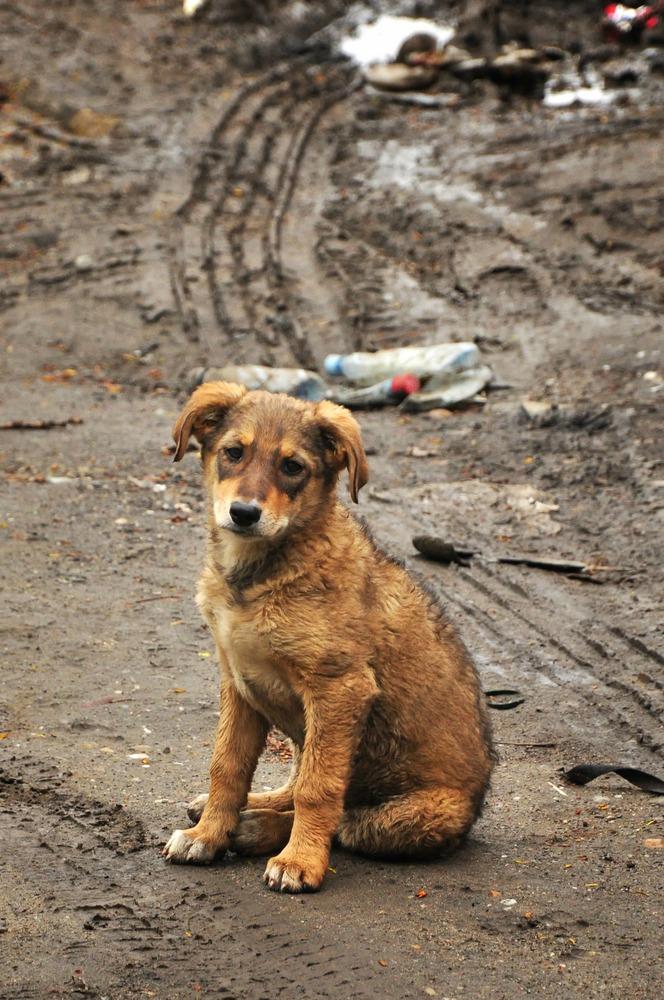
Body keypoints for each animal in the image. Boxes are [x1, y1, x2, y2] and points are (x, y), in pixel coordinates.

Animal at [162, 380, 492, 892]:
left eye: (293, 467)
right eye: (234, 453)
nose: (244, 513)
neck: (259, 576)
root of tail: (476, 803)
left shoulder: (339, 688)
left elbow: (319, 790)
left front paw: (298, 861)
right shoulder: (238, 682)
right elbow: (227, 766)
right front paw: (208, 835)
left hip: (410, 815)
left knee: (343, 819)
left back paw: (260, 829)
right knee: (294, 783)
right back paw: (248, 812)